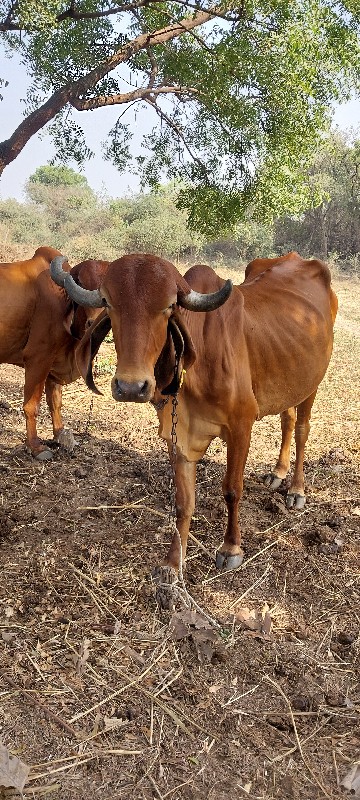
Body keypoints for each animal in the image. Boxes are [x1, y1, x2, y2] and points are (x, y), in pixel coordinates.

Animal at [0, 250, 108, 462]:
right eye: (82, 282)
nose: (95, 324)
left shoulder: (53, 363)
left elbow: (55, 402)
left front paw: (60, 434)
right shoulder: (38, 358)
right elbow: (32, 405)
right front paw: (35, 447)